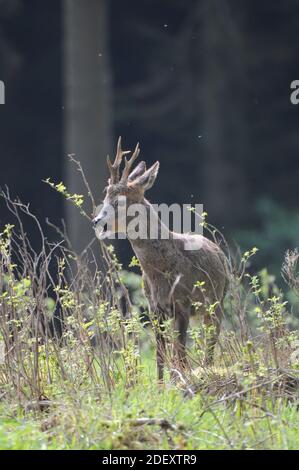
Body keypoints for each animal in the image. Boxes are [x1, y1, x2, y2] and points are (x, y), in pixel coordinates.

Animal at [94, 138, 230, 380]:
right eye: (105, 197)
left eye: (120, 201)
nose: (96, 220)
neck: (159, 271)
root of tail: (219, 252)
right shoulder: (154, 308)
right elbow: (159, 356)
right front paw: (160, 384)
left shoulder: (183, 302)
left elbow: (180, 355)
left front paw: (180, 381)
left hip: (217, 301)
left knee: (211, 341)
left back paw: (208, 369)